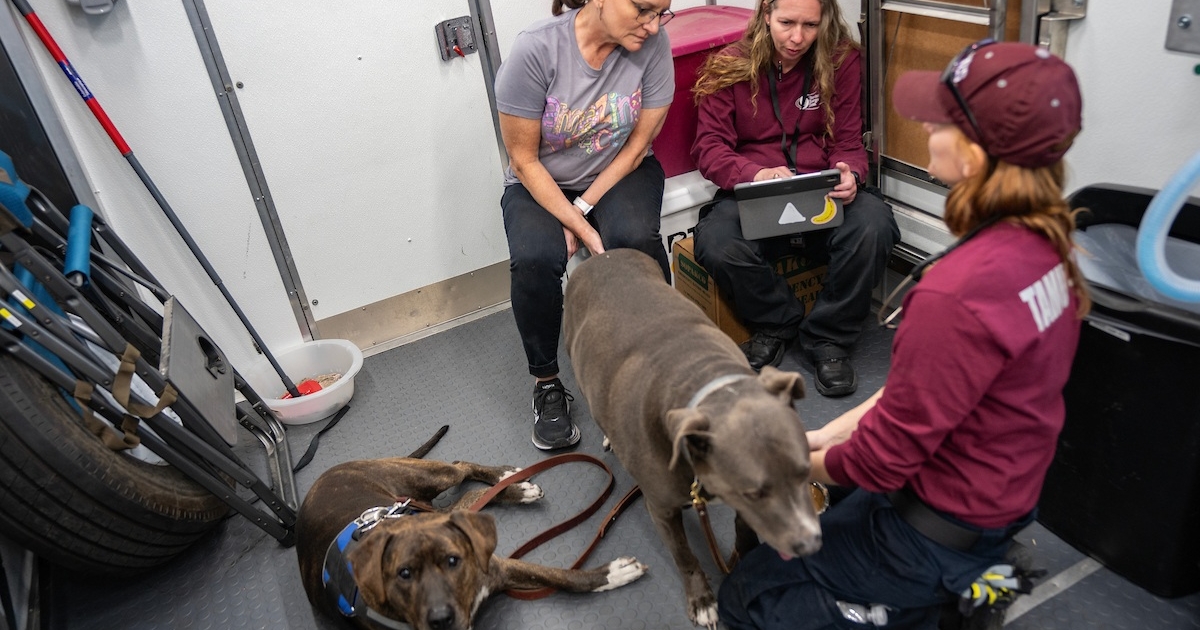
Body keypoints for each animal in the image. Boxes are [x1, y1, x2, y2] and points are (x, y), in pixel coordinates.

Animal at [561, 248, 825, 624]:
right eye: (755, 492)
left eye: (805, 472)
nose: (810, 544)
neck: (705, 383)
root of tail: (601, 256)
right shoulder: (662, 509)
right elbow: (685, 558)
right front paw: (701, 599)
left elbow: (745, 531)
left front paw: (744, 565)